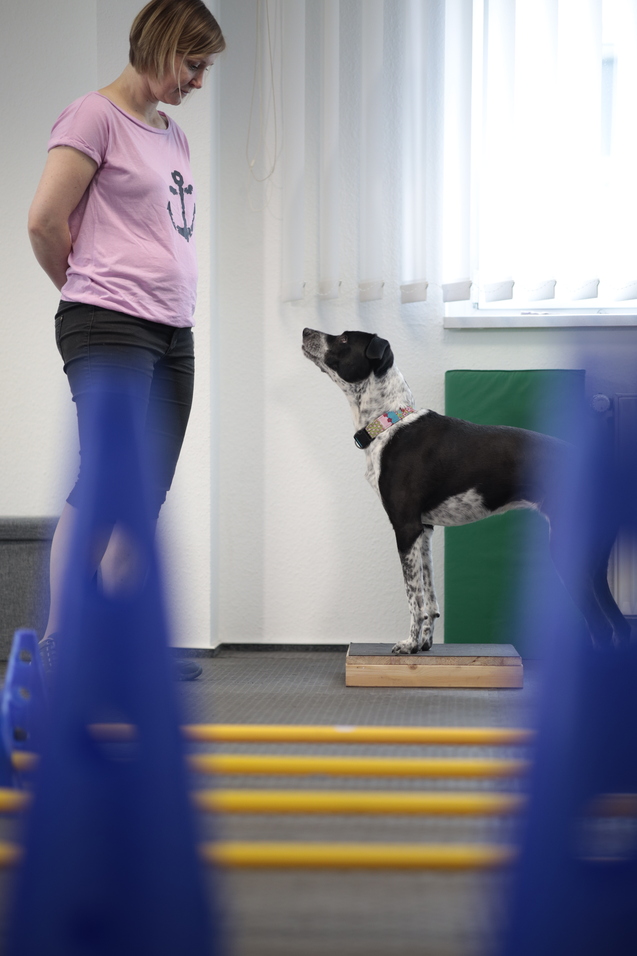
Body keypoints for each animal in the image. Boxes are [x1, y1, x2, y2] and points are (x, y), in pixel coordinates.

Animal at [302, 327, 630, 653]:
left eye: (344, 338)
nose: (305, 331)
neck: (389, 423)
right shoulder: (424, 529)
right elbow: (429, 597)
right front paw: (424, 643)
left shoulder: (405, 527)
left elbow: (414, 597)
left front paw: (409, 644)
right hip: (594, 562)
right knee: (619, 627)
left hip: (568, 550)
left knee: (601, 629)